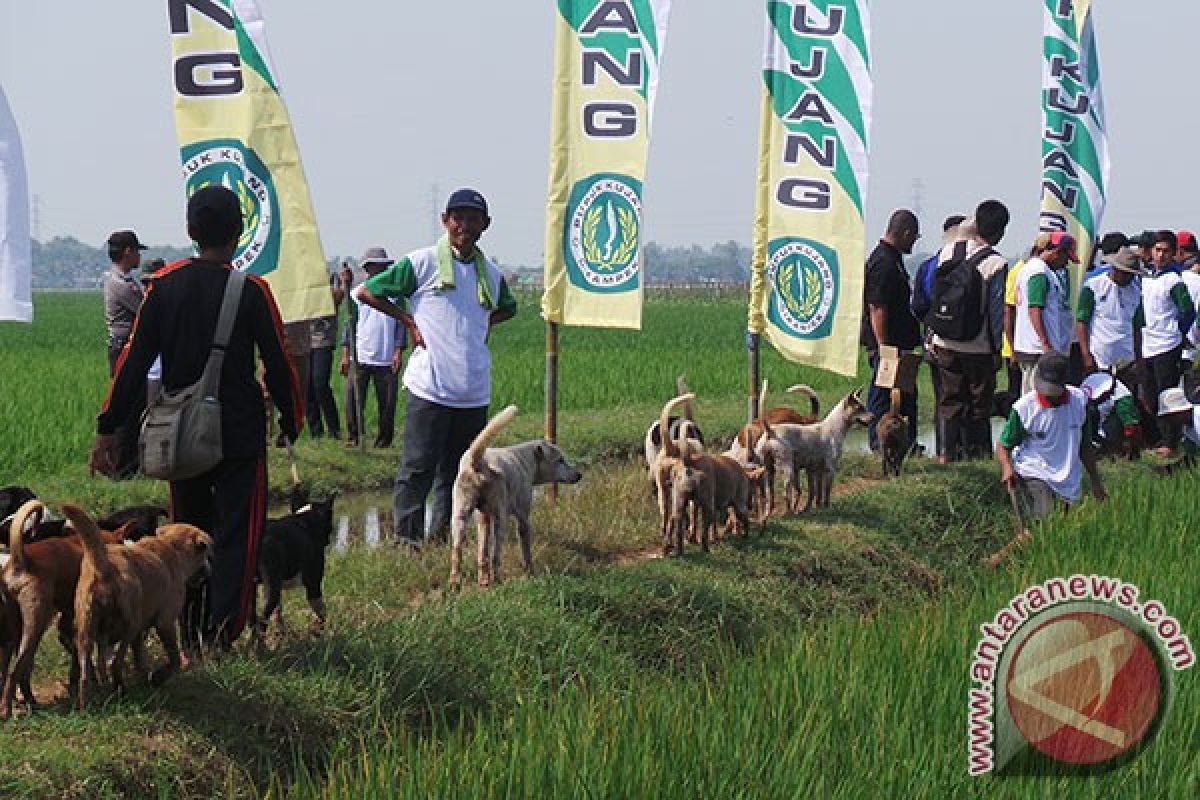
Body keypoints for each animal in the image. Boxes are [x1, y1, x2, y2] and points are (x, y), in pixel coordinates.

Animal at [0, 501, 131, 719]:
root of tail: (22, 559)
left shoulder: (69, 620)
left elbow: (75, 656)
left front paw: (77, 683)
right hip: (34, 625)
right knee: (15, 671)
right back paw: (7, 710)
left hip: (16, 629)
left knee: (16, 670)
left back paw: (29, 702)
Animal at [67, 503, 211, 710]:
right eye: (205, 555)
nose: (208, 571)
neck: (170, 547)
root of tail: (103, 566)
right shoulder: (164, 622)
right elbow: (174, 658)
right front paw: (157, 677)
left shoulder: (140, 631)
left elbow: (139, 657)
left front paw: (144, 678)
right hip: (129, 625)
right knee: (115, 664)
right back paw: (120, 692)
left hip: (86, 629)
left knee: (88, 671)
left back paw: (86, 705)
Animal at [253, 491, 338, 633]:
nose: (327, 541)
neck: (305, 520)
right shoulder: (313, 584)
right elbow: (321, 612)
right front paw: (321, 631)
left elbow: (277, 614)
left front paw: (280, 633)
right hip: (272, 588)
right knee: (262, 619)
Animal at [451, 407, 580, 587]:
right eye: (560, 460)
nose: (579, 475)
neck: (525, 461)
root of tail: (477, 464)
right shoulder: (523, 516)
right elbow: (525, 548)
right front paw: (530, 572)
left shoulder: (483, 518)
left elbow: (482, 552)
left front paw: (483, 579)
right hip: (500, 519)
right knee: (495, 555)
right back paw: (497, 580)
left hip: (459, 516)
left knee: (457, 552)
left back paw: (457, 582)